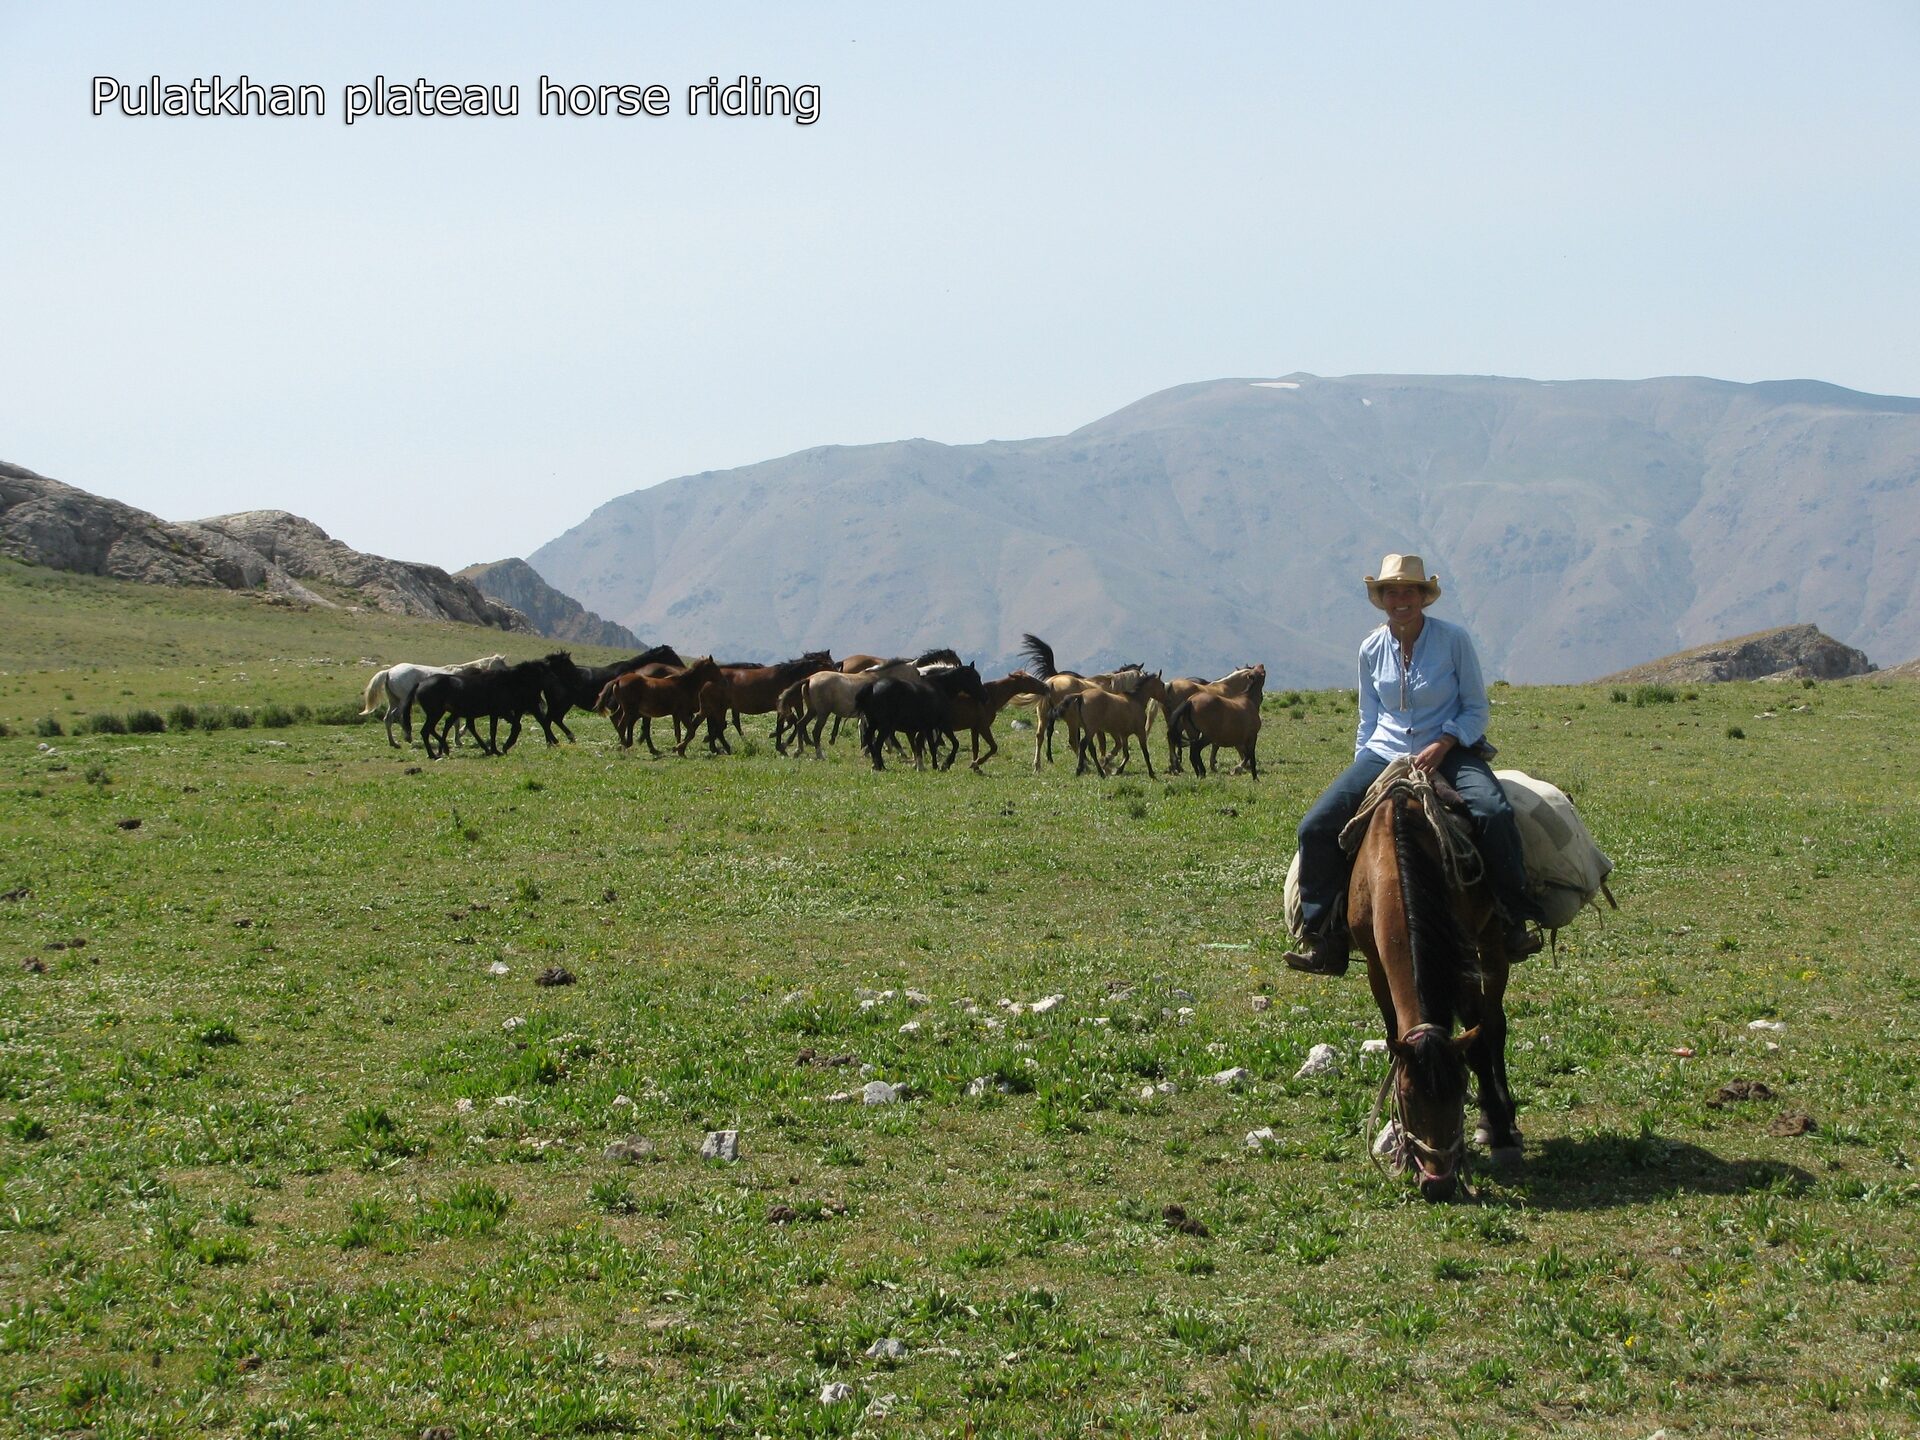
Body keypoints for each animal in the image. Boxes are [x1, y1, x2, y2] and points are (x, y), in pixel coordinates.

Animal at [360, 652, 506, 744]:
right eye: (501, 666)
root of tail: (389, 671)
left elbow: (457, 722)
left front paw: (458, 739)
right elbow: (459, 723)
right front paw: (458, 739)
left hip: (394, 701)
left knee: (388, 719)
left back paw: (395, 741)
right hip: (402, 702)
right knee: (396, 717)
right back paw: (405, 738)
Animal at [591, 656, 721, 756]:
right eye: (714, 667)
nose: (722, 680)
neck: (684, 685)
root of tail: (618, 679)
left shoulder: (676, 714)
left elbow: (678, 732)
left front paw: (679, 750)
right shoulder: (682, 713)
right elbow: (691, 731)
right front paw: (678, 748)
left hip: (626, 709)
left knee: (616, 719)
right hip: (629, 710)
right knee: (622, 725)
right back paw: (625, 748)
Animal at [1344, 768, 1520, 1205]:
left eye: (1459, 1091)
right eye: (1407, 1097)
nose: (1438, 1184)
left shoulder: (1462, 963)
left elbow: (1478, 1045)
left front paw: (1499, 1130)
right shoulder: (1375, 965)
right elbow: (1392, 1030)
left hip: (1491, 938)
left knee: (1495, 1024)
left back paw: (1501, 1121)